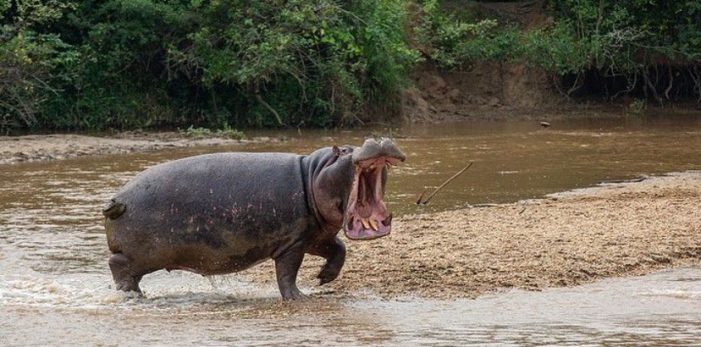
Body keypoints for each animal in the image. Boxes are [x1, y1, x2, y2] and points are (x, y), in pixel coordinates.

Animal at [106, 138, 408, 300]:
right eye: (344, 150)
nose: (377, 138)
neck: (313, 173)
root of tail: (117, 199)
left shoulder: (314, 236)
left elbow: (339, 249)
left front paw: (324, 279)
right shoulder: (292, 243)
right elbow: (287, 272)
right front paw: (298, 297)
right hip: (144, 254)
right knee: (118, 266)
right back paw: (132, 296)